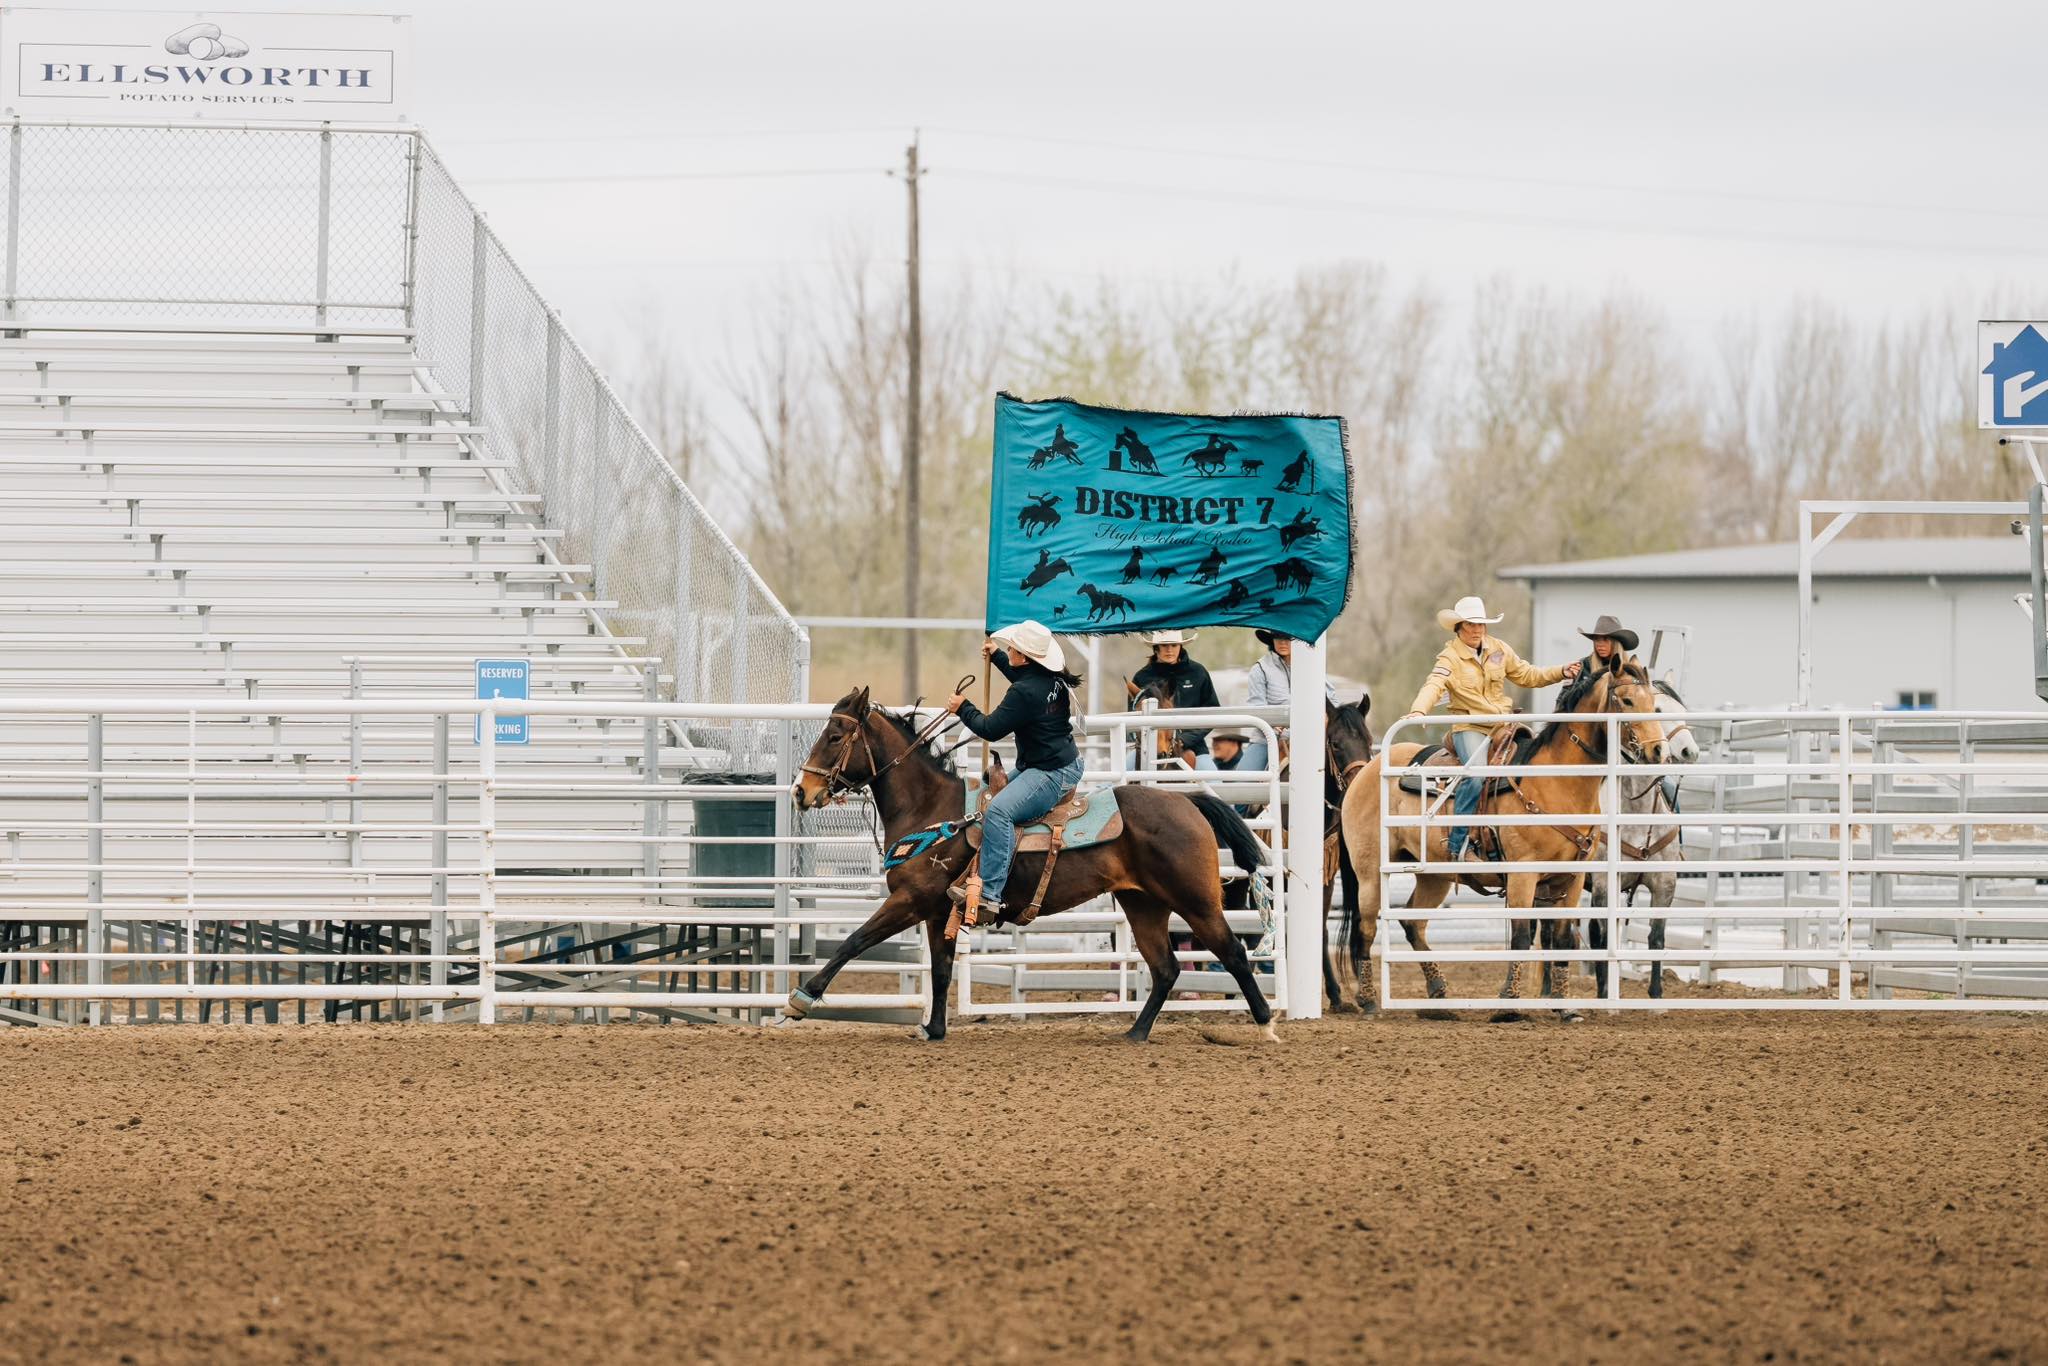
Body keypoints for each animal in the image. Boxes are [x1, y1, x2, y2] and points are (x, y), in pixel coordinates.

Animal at [785, 689, 1276, 1043]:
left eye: (834, 736)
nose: (800, 791)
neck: (930, 810)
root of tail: (1187, 802)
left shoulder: (910, 901)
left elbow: (854, 941)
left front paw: (800, 999)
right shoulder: (937, 912)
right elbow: (941, 971)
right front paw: (934, 1029)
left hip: (1196, 900)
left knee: (1233, 953)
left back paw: (1266, 1024)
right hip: (1143, 904)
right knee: (1165, 967)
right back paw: (1135, 1032)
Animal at [1338, 661, 1669, 1022]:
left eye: (1654, 703)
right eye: (1627, 700)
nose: (1659, 750)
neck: (1556, 781)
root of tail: (1367, 770)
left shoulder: (1572, 876)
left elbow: (1562, 938)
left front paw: (1565, 1006)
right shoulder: (1523, 874)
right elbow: (1522, 937)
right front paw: (1508, 1004)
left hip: (1435, 877)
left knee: (1414, 923)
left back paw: (1438, 997)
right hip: (1370, 873)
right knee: (1366, 930)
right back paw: (1370, 1001)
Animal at [1584, 680, 1702, 1001]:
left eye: (1684, 711)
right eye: (1657, 710)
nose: (1689, 751)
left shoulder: (1665, 883)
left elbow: (1657, 937)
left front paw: (1657, 995)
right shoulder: (1604, 883)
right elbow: (1603, 937)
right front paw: (1604, 994)